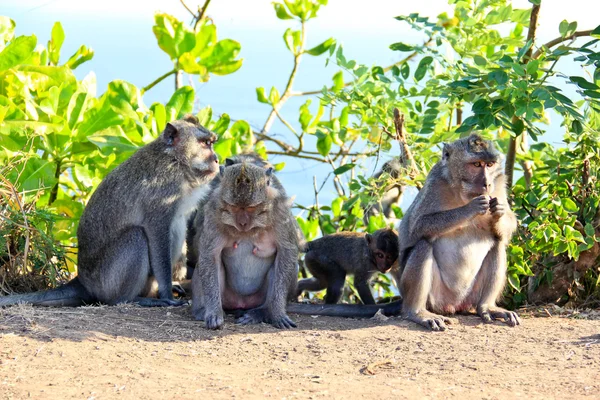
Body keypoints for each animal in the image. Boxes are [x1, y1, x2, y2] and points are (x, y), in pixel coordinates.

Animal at [0, 115, 220, 310]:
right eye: (205, 144)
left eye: (211, 142)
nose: (217, 159)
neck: (176, 161)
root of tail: (83, 280)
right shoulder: (163, 193)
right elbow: (157, 232)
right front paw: (167, 292)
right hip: (106, 280)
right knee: (136, 236)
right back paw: (130, 299)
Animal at [192, 161, 298, 330]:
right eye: (234, 207)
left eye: (251, 208)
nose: (242, 223)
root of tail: (241, 303)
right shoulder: (213, 211)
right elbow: (209, 255)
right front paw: (214, 314)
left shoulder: (281, 211)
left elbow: (286, 252)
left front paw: (277, 313)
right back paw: (202, 310)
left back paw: (262, 312)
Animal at [394, 134, 520, 332]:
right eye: (476, 164)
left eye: (490, 164)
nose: (487, 183)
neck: (461, 191)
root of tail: (454, 305)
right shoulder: (435, 183)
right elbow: (417, 226)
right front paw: (471, 208)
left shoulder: (499, 182)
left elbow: (506, 229)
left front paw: (498, 211)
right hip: (434, 297)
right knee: (423, 244)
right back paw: (418, 313)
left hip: (472, 295)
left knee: (497, 243)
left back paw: (488, 307)